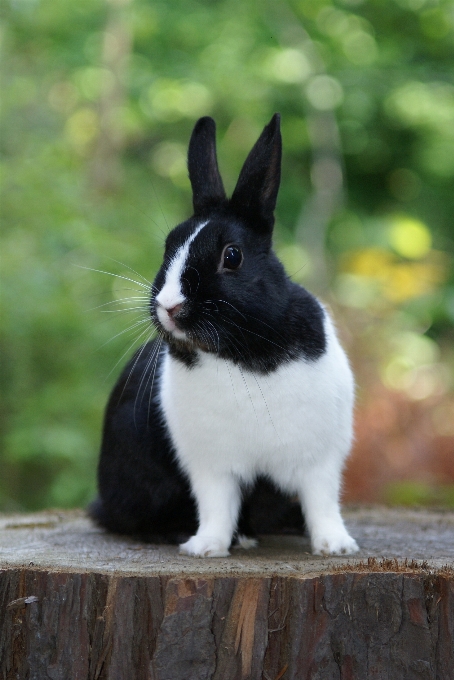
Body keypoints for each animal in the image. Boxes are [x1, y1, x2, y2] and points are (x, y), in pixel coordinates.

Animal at [90, 113, 360, 556]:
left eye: (231, 256)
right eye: (167, 248)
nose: (168, 305)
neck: (242, 352)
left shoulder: (320, 459)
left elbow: (322, 502)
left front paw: (336, 546)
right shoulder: (210, 466)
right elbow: (217, 506)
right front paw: (206, 547)